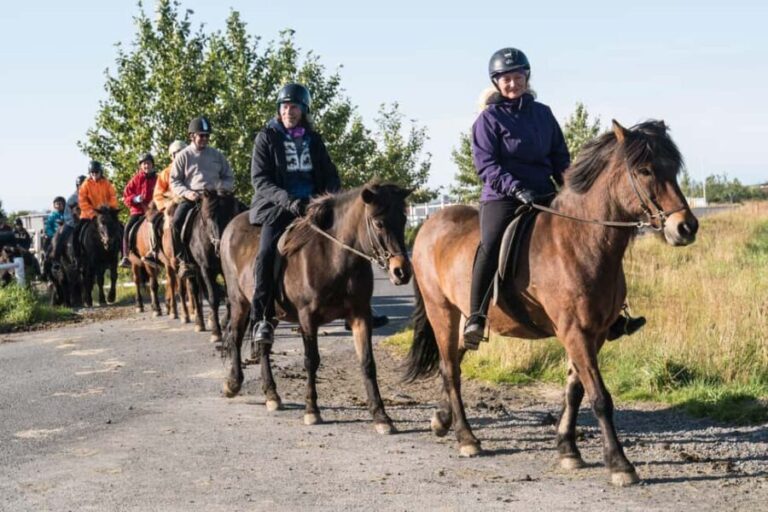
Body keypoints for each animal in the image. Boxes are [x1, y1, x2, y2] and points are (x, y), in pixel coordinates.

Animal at [186, 189, 240, 342]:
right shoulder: (206, 269)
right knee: (195, 292)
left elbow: (228, 295)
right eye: (209, 218)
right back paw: (199, 323)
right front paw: (216, 332)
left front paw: (227, 324)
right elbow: (212, 298)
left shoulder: (224, 270)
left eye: (230, 215)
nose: (220, 247)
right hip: (194, 271)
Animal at [220, 181, 412, 433]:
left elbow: (367, 362)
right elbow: (311, 360)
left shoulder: (360, 315)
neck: (334, 257)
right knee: (235, 336)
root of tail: (230, 226)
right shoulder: (307, 317)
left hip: (272, 314)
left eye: (404, 219)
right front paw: (312, 410)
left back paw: (272, 395)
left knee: (263, 346)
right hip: (239, 301)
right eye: (378, 223)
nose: (402, 272)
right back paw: (233, 383)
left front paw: (381, 417)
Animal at [404, 120, 699, 486]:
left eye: (673, 168)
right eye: (644, 170)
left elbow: (575, 390)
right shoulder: (575, 331)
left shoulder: (594, 334)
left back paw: (441, 420)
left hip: (459, 318)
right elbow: (600, 397)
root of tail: (427, 226)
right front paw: (620, 464)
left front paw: (568, 451)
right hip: (441, 311)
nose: (685, 227)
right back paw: (466, 438)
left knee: (453, 361)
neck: (580, 241)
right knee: (450, 370)